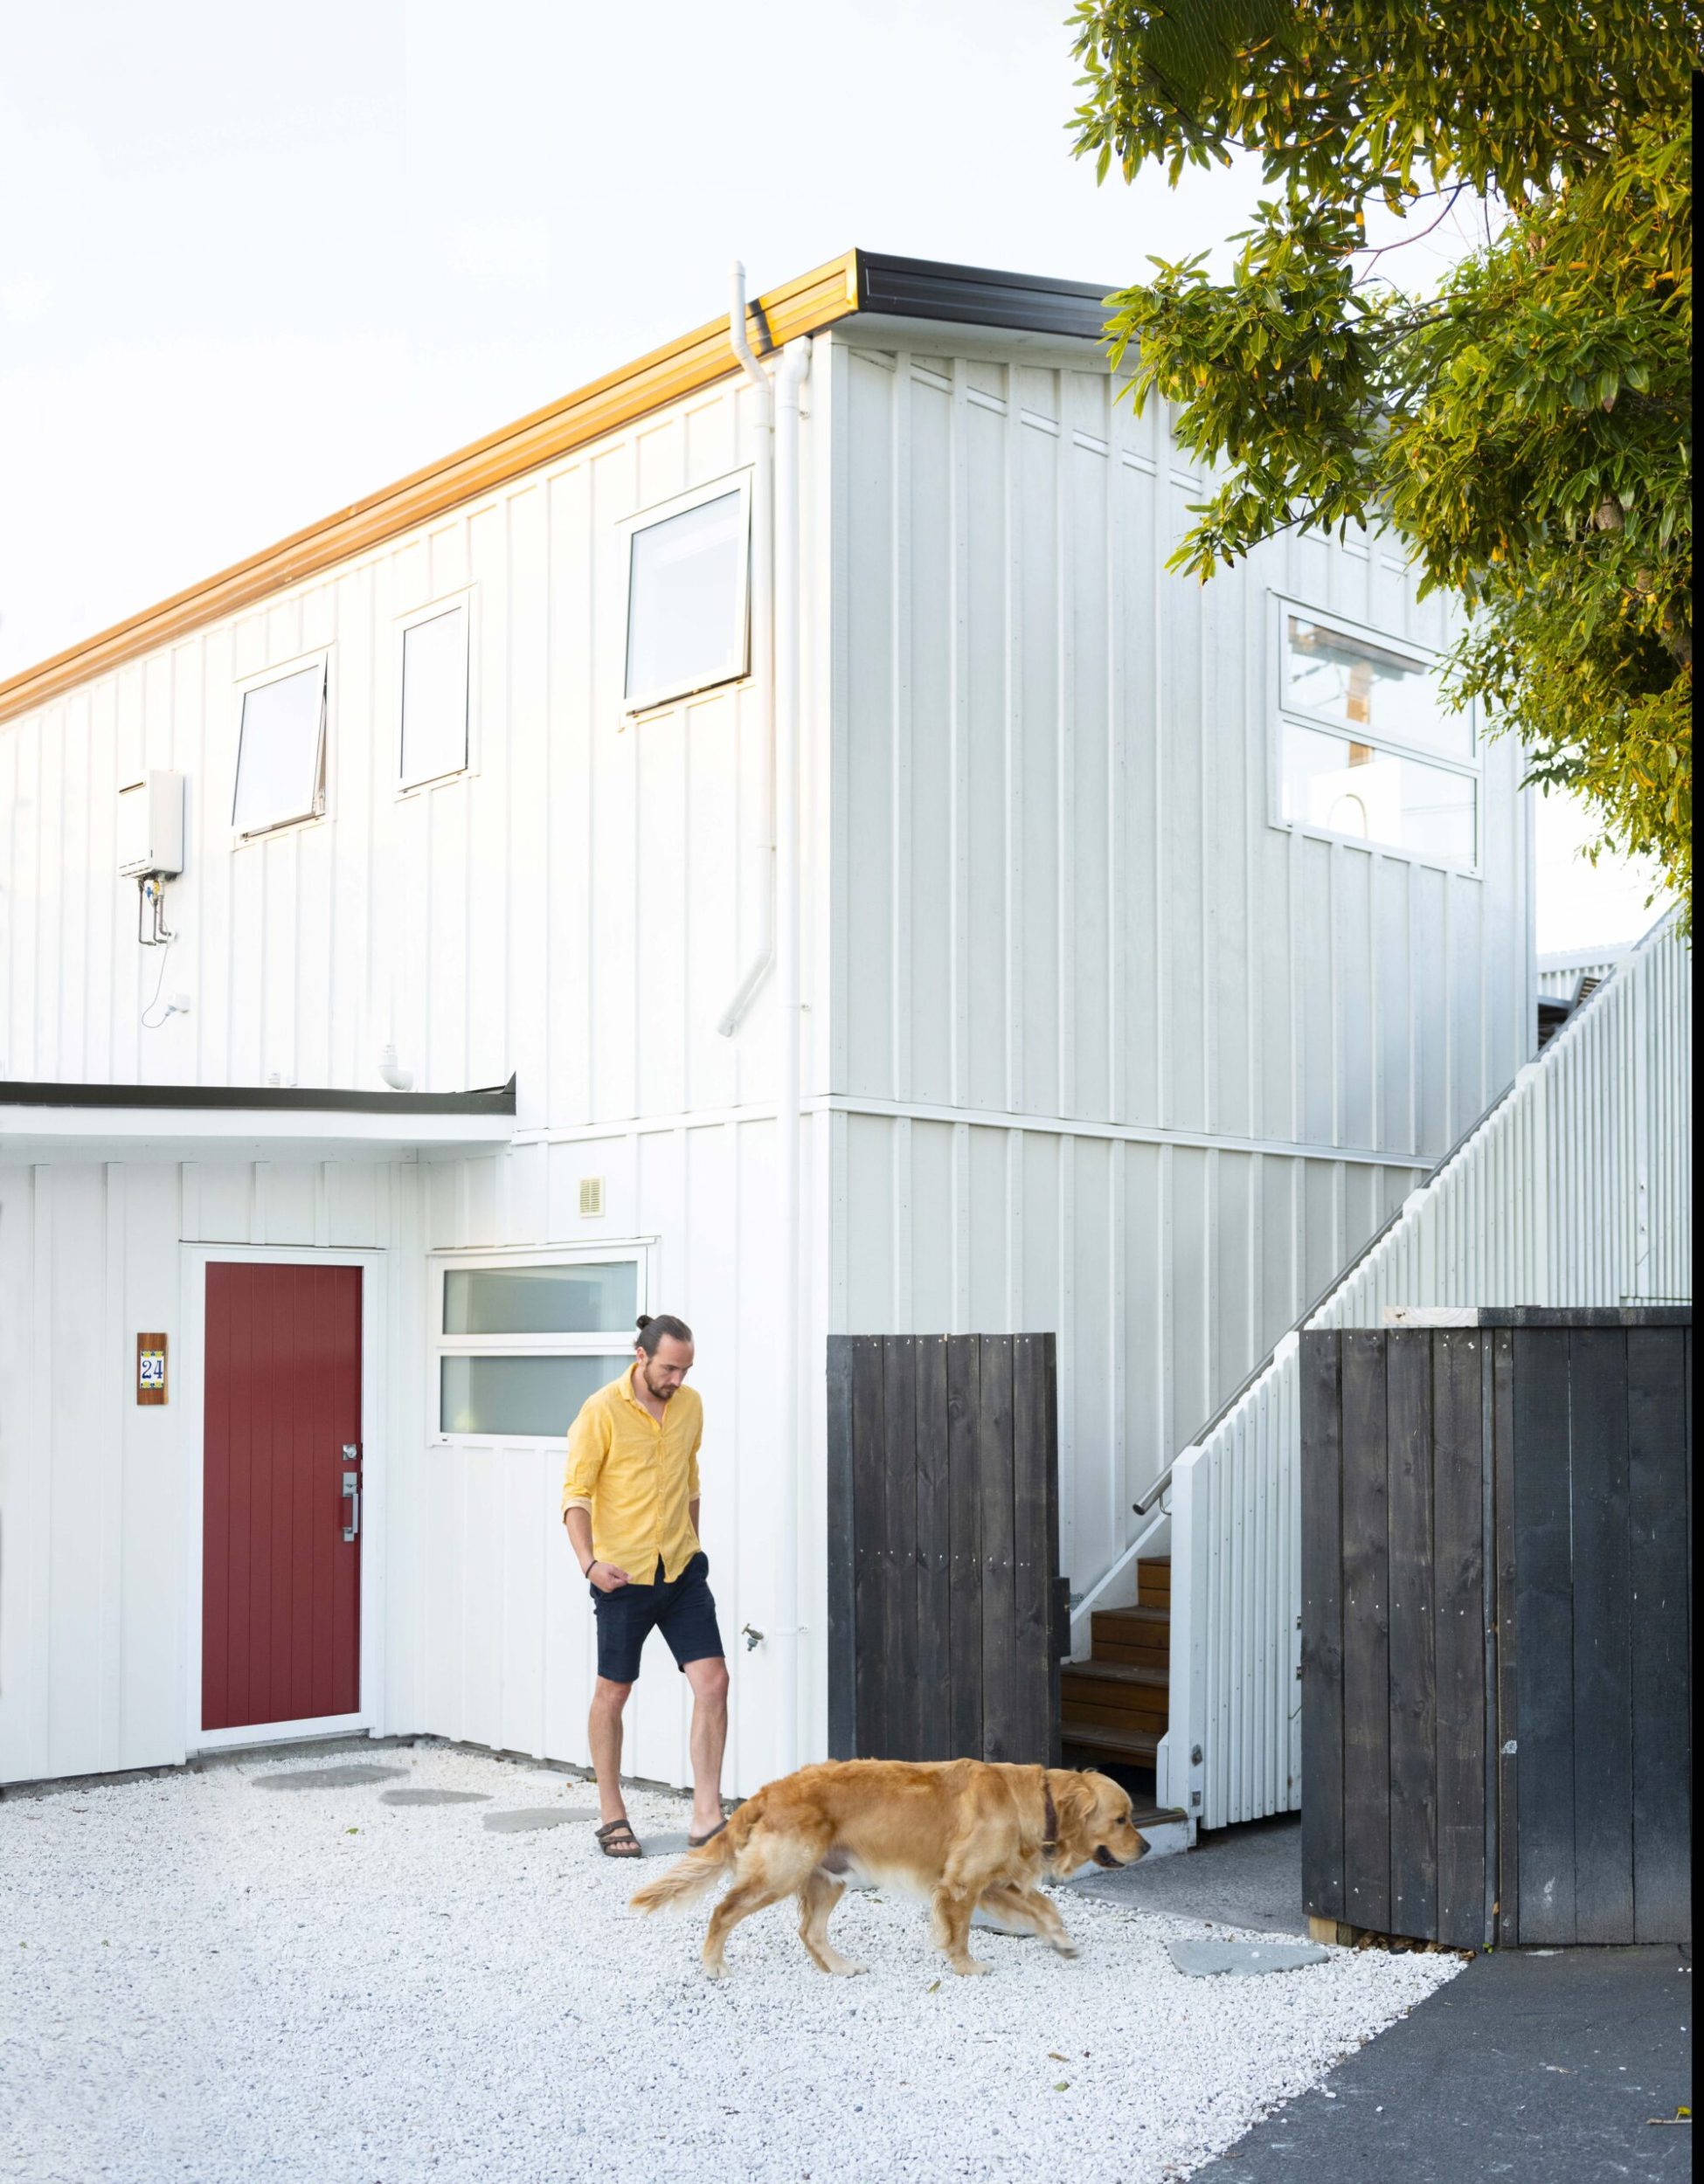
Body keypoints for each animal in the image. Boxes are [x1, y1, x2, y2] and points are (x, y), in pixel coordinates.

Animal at [625, 1756, 1145, 1983]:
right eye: (1122, 1818)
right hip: (780, 1874)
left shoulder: (995, 1883)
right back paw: (714, 1965)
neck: (1034, 1800)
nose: (1145, 1846)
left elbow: (1044, 1907)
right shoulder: (961, 1885)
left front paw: (1061, 1942)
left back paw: (840, 1967)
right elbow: (959, 1933)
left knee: (810, 1932)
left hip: (830, 1877)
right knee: (723, 1911)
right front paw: (966, 1966)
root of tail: (768, 1790)